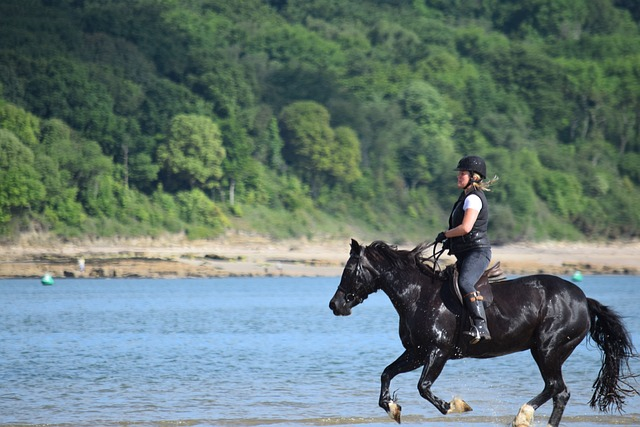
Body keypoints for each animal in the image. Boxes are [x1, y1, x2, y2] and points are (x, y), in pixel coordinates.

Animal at [328, 241, 636, 427]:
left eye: (349, 269)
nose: (335, 305)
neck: (418, 295)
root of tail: (583, 299)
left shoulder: (438, 351)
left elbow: (423, 387)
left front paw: (454, 405)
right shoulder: (416, 352)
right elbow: (386, 374)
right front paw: (392, 408)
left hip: (548, 349)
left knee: (555, 388)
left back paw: (522, 416)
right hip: (549, 351)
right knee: (560, 392)